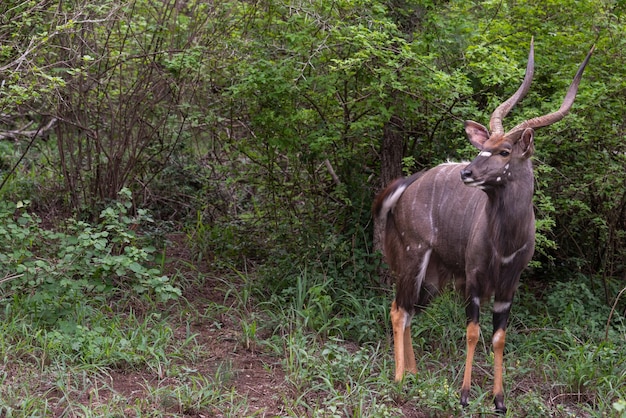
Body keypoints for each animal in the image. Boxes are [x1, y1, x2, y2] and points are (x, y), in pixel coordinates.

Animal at [372, 40, 592, 414]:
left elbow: (499, 337)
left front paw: (499, 400)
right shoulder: (473, 279)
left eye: (503, 151)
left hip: (432, 277)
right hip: (412, 256)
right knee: (398, 310)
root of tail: (407, 183)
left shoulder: (509, 286)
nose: (467, 173)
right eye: (483, 147)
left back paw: (414, 372)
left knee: (410, 310)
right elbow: (473, 331)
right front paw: (463, 394)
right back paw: (400, 378)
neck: (505, 243)